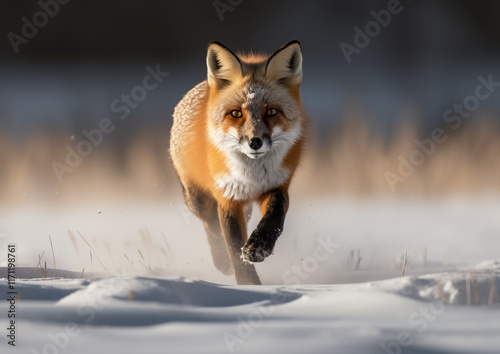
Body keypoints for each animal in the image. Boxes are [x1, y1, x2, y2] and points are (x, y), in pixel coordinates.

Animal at [170, 40, 306, 284]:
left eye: (271, 111)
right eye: (236, 113)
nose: (255, 142)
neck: (252, 175)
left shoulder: (276, 186)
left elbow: (275, 217)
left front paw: (259, 247)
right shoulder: (228, 197)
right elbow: (232, 246)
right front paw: (248, 285)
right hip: (197, 200)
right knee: (211, 226)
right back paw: (220, 261)